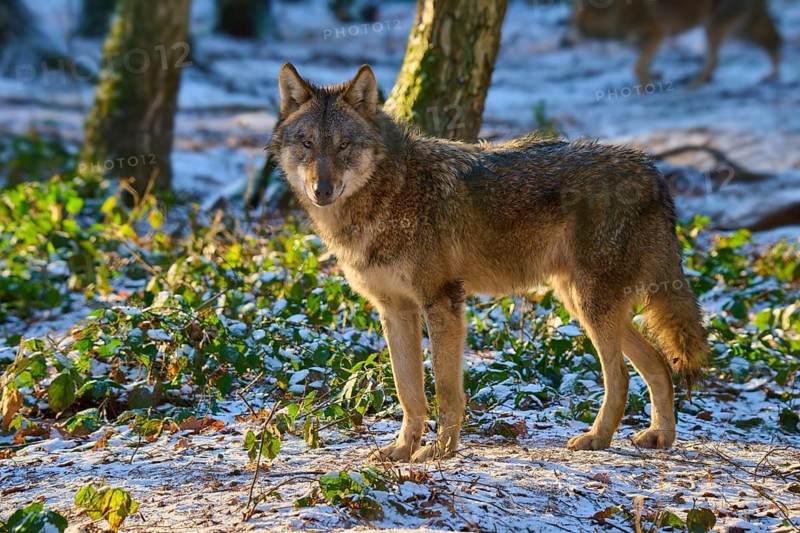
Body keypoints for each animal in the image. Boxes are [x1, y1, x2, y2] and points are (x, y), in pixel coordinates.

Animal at [267, 63, 708, 462]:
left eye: (343, 145)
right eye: (307, 143)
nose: (322, 190)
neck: (388, 195)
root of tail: (651, 170)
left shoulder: (442, 301)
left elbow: (446, 389)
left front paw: (441, 451)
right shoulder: (394, 310)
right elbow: (408, 391)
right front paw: (403, 449)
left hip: (591, 306)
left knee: (620, 376)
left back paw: (596, 439)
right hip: (583, 305)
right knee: (657, 364)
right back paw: (659, 436)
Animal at [571, 0, 781, 86]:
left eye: (576, 23)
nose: (565, 40)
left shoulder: (658, 34)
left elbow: (637, 68)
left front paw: (643, 90)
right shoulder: (643, 43)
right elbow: (641, 67)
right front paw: (653, 79)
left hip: (716, 29)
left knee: (714, 61)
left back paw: (694, 85)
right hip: (741, 30)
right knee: (774, 41)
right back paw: (772, 75)